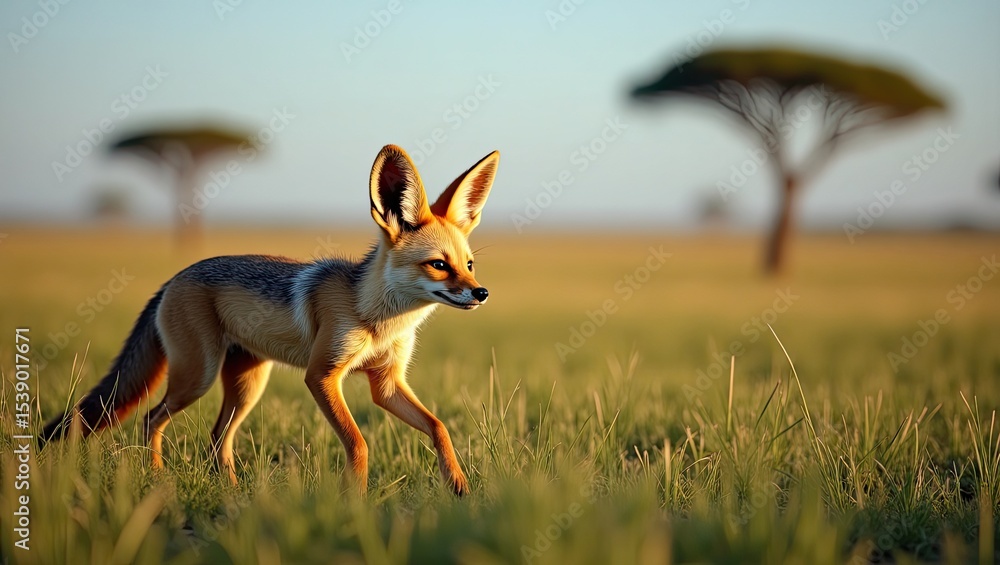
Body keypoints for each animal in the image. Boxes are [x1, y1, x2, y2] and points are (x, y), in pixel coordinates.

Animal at [41, 144, 500, 496]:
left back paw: (230, 492)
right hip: (197, 377)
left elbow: (439, 427)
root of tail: (176, 276)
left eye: (469, 265)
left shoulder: (386, 384)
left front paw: (458, 485)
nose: (481, 293)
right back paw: (157, 480)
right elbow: (358, 443)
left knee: (217, 438)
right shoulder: (322, 375)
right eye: (438, 265)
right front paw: (355, 499)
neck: (378, 319)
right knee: (152, 418)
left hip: (246, 386)